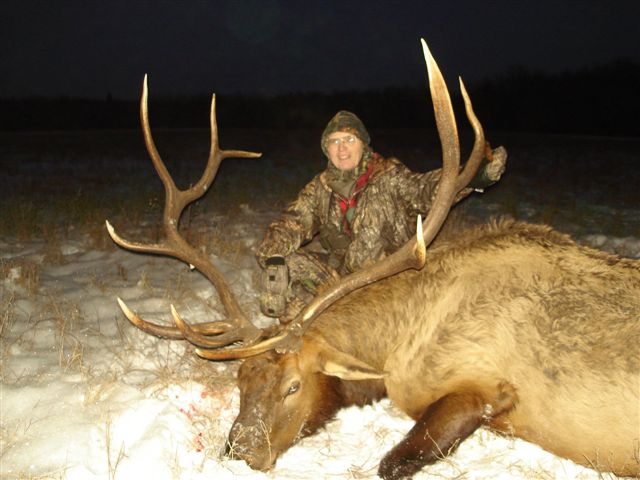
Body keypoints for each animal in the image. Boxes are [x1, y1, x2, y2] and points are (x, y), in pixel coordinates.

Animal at [106, 40, 640, 479]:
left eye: (293, 386)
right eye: (240, 379)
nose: (240, 450)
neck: (396, 342)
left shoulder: (486, 385)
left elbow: (392, 463)